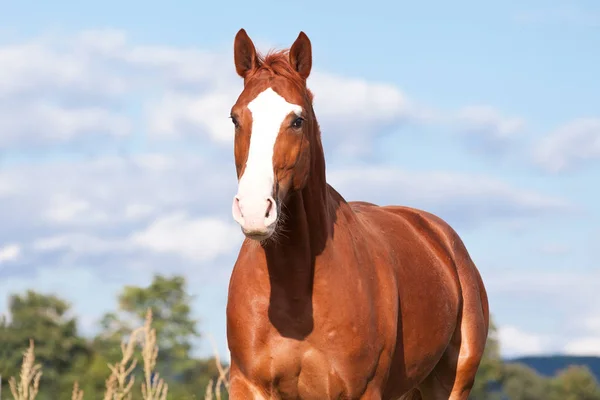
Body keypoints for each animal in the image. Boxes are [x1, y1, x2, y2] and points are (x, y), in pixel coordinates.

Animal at [227, 28, 490, 400]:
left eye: (297, 120)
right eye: (236, 118)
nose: (253, 210)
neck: (296, 287)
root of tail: (440, 236)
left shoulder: (362, 390)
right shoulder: (248, 385)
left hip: (452, 383)